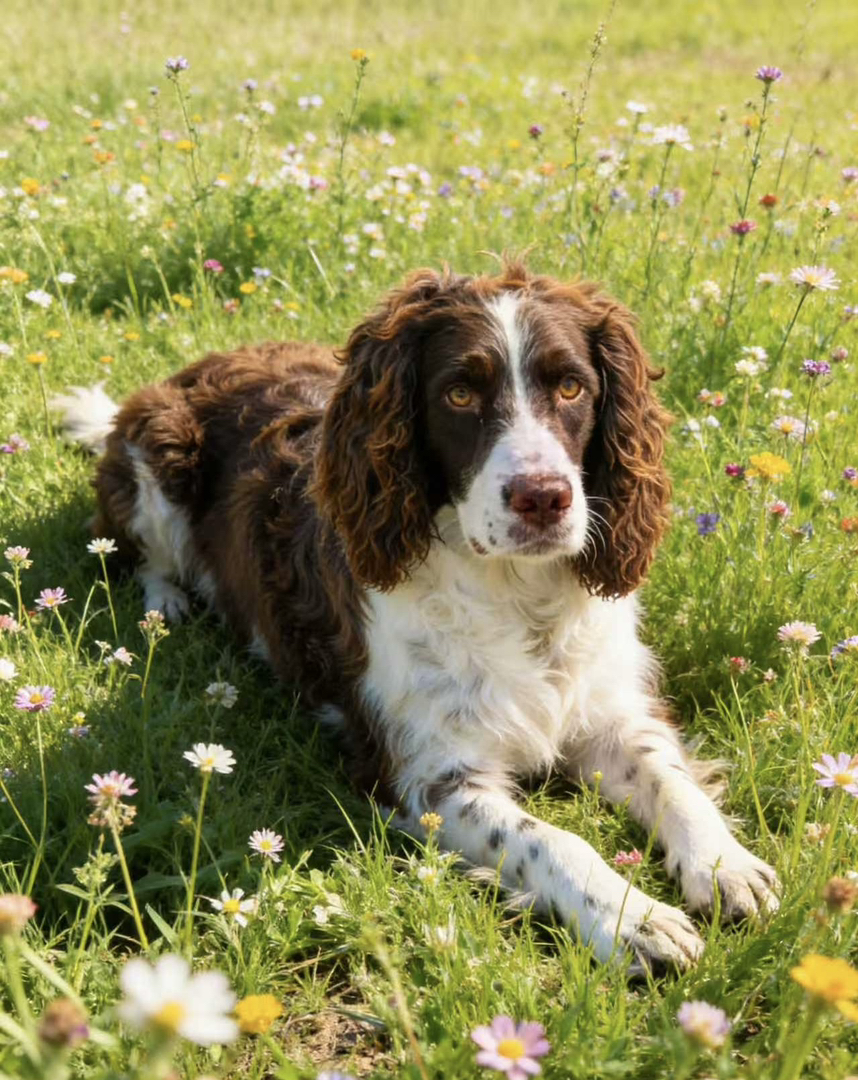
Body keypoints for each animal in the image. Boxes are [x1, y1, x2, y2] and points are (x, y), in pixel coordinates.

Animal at [57, 262, 779, 971]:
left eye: (573, 386)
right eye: (458, 395)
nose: (543, 498)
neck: (517, 596)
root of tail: (200, 364)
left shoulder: (611, 712)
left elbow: (670, 780)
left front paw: (725, 866)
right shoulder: (429, 778)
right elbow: (551, 840)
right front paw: (635, 919)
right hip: (158, 455)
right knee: (138, 554)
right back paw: (169, 604)